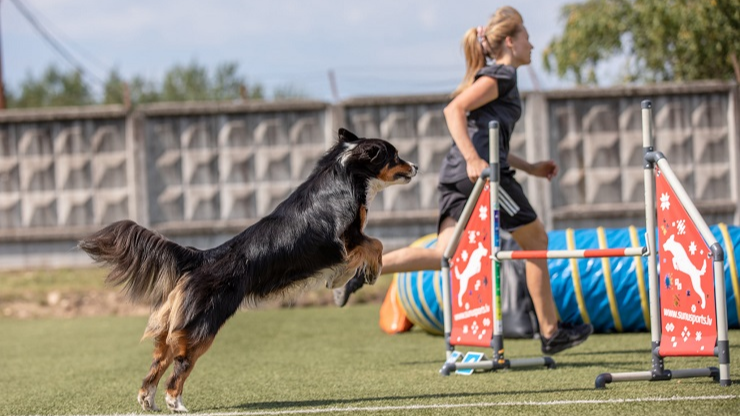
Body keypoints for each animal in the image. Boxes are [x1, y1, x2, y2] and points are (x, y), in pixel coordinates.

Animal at [81, 128, 420, 412]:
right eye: (395, 155)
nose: (417, 166)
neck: (345, 173)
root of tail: (203, 257)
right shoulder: (345, 238)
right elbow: (376, 244)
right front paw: (365, 274)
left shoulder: (347, 241)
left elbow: (368, 247)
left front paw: (342, 281)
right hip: (203, 325)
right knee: (180, 363)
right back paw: (175, 403)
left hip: (176, 323)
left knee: (159, 358)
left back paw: (147, 400)